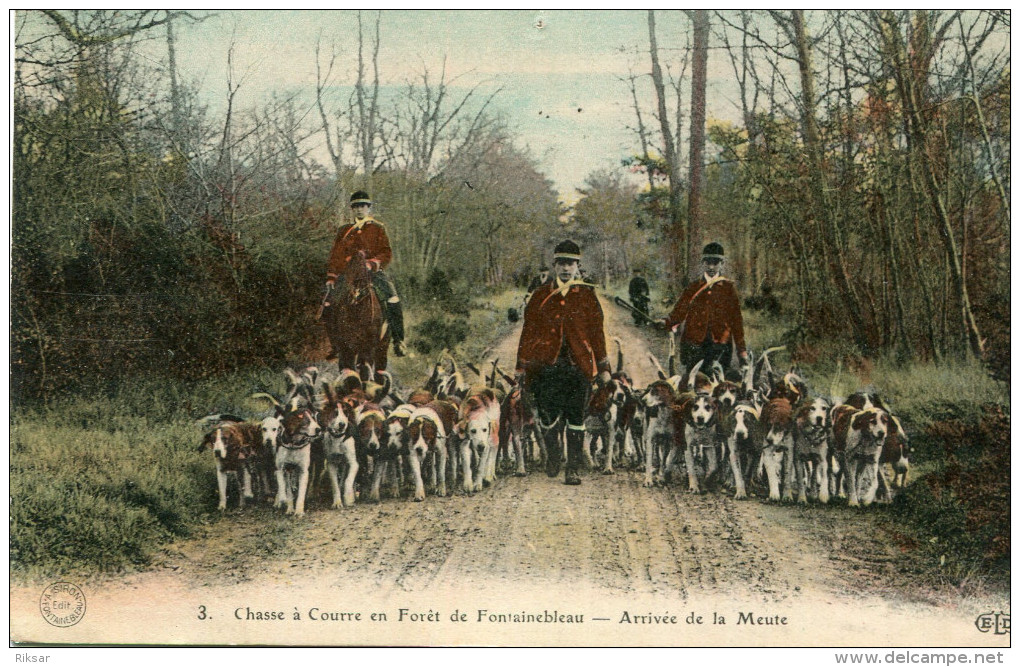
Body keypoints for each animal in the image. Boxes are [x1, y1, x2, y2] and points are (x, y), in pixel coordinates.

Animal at [326, 249, 389, 381]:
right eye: (348, 271)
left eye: (365, 270)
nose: (355, 294)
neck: (357, 313)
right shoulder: (346, 349)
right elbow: (349, 372)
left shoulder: (368, 348)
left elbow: (364, 372)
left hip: (382, 347)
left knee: (379, 370)